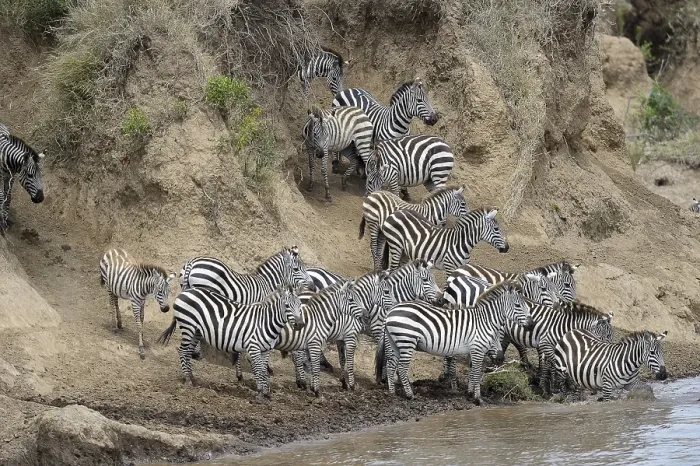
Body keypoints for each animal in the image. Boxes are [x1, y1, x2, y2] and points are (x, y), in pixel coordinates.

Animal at [157, 284, 305, 401]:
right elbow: (259, 370)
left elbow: (263, 371)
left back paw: (193, 379)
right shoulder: (254, 348)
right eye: (287, 306)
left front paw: (266, 393)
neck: (265, 322)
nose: (300, 325)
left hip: (196, 331)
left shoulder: (266, 350)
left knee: (187, 352)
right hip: (188, 326)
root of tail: (186, 291)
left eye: (300, 305)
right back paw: (187, 379)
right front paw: (260, 394)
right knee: (182, 351)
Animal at [376, 280, 534, 404]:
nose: (531, 325)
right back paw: (410, 395)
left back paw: (392, 393)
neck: (484, 321)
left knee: (390, 365)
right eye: (518, 306)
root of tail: (391, 311)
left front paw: (470, 393)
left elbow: (473, 371)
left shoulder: (474, 350)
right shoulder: (477, 349)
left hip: (395, 342)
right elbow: (477, 372)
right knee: (401, 368)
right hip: (407, 341)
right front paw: (478, 398)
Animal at [380, 208, 509, 275]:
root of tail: (394, 213)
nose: (507, 248)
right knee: (392, 270)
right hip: (396, 246)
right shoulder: (449, 267)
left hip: (405, 251)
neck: (461, 244)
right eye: (496, 229)